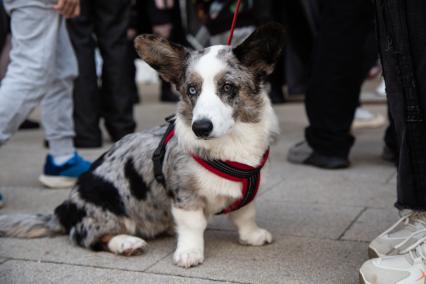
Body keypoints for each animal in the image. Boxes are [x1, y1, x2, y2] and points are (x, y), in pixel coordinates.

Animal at [0, 22, 286, 268]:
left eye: (227, 87)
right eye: (192, 90)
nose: (200, 127)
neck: (231, 144)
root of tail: (63, 211)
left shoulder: (245, 194)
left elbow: (245, 214)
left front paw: (252, 236)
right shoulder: (185, 196)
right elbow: (193, 226)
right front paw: (189, 253)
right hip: (106, 206)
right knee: (91, 238)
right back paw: (127, 243)